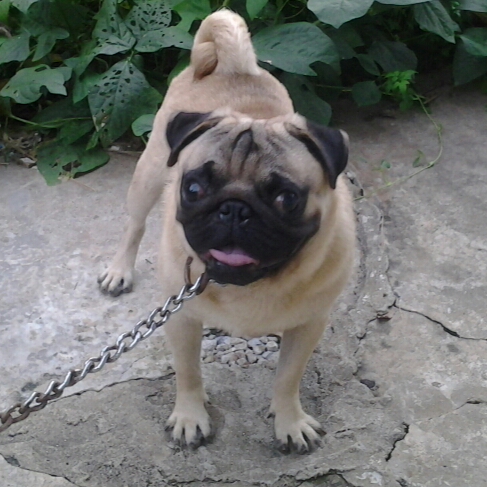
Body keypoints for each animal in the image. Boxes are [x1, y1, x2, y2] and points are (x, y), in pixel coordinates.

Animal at [98, 10, 355, 453]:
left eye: (286, 198)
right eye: (194, 188)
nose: (234, 209)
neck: (251, 287)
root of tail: (234, 66)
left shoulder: (308, 326)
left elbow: (289, 377)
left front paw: (289, 421)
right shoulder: (181, 319)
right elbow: (188, 372)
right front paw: (190, 417)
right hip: (148, 175)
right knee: (134, 225)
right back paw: (119, 271)